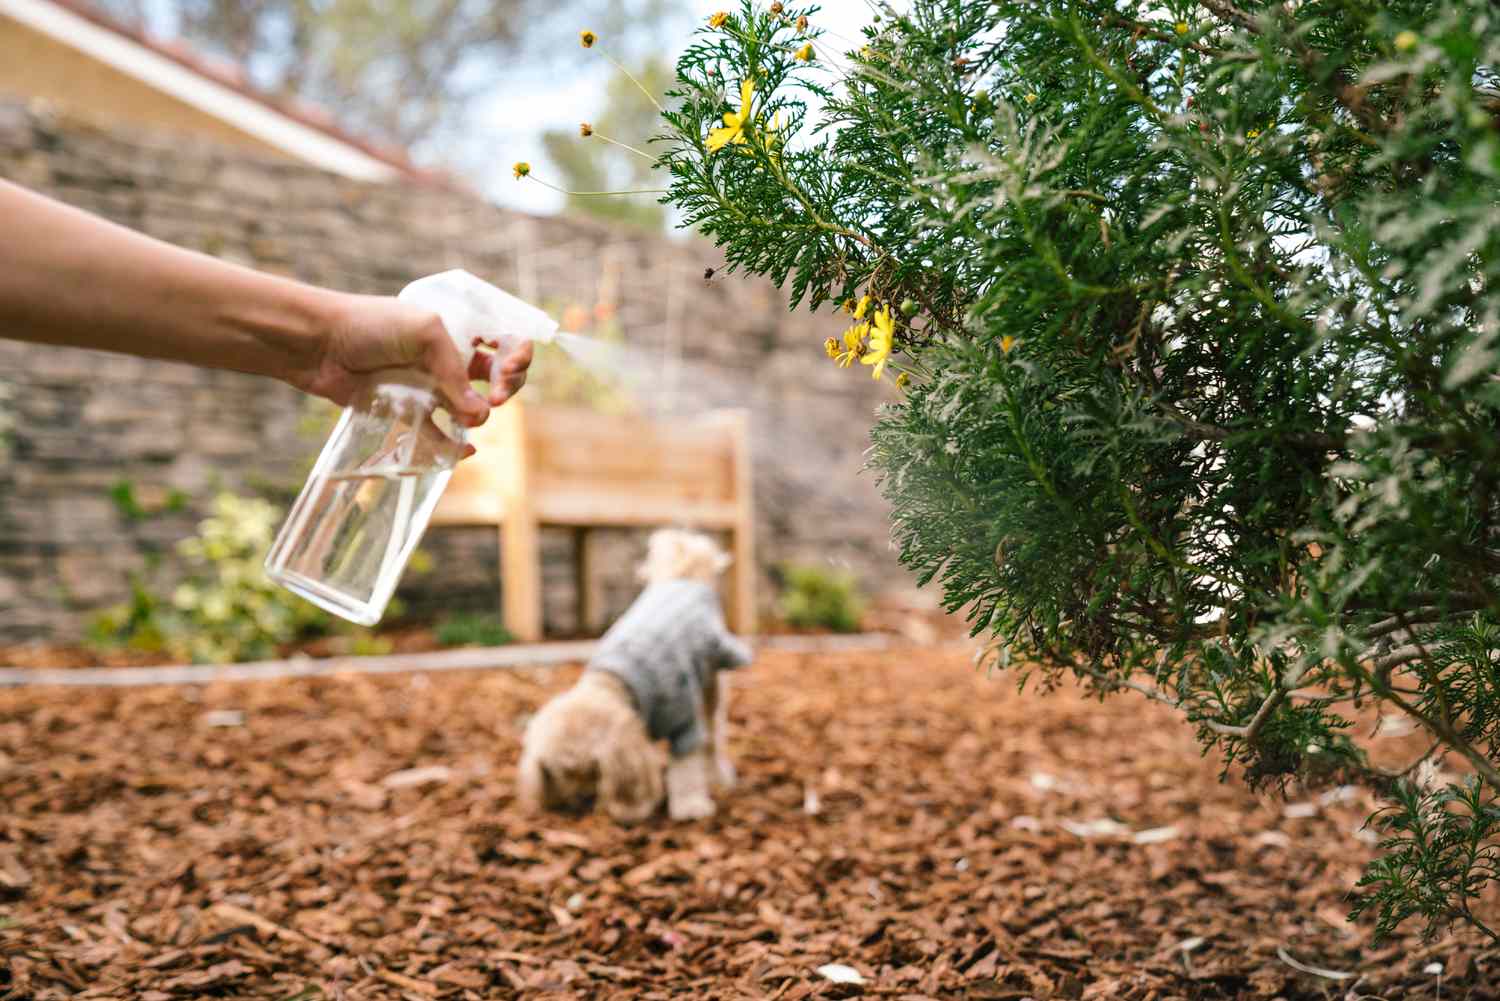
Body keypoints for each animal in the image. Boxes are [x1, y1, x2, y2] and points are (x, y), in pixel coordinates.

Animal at [519, 531, 750, 822]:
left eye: (591, 770)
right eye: (559, 774)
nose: (581, 802)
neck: (614, 683)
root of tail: (681, 576)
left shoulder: (684, 722)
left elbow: (686, 768)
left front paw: (689, 806)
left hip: (711, 683)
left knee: (712, 734)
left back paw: (717, 776)